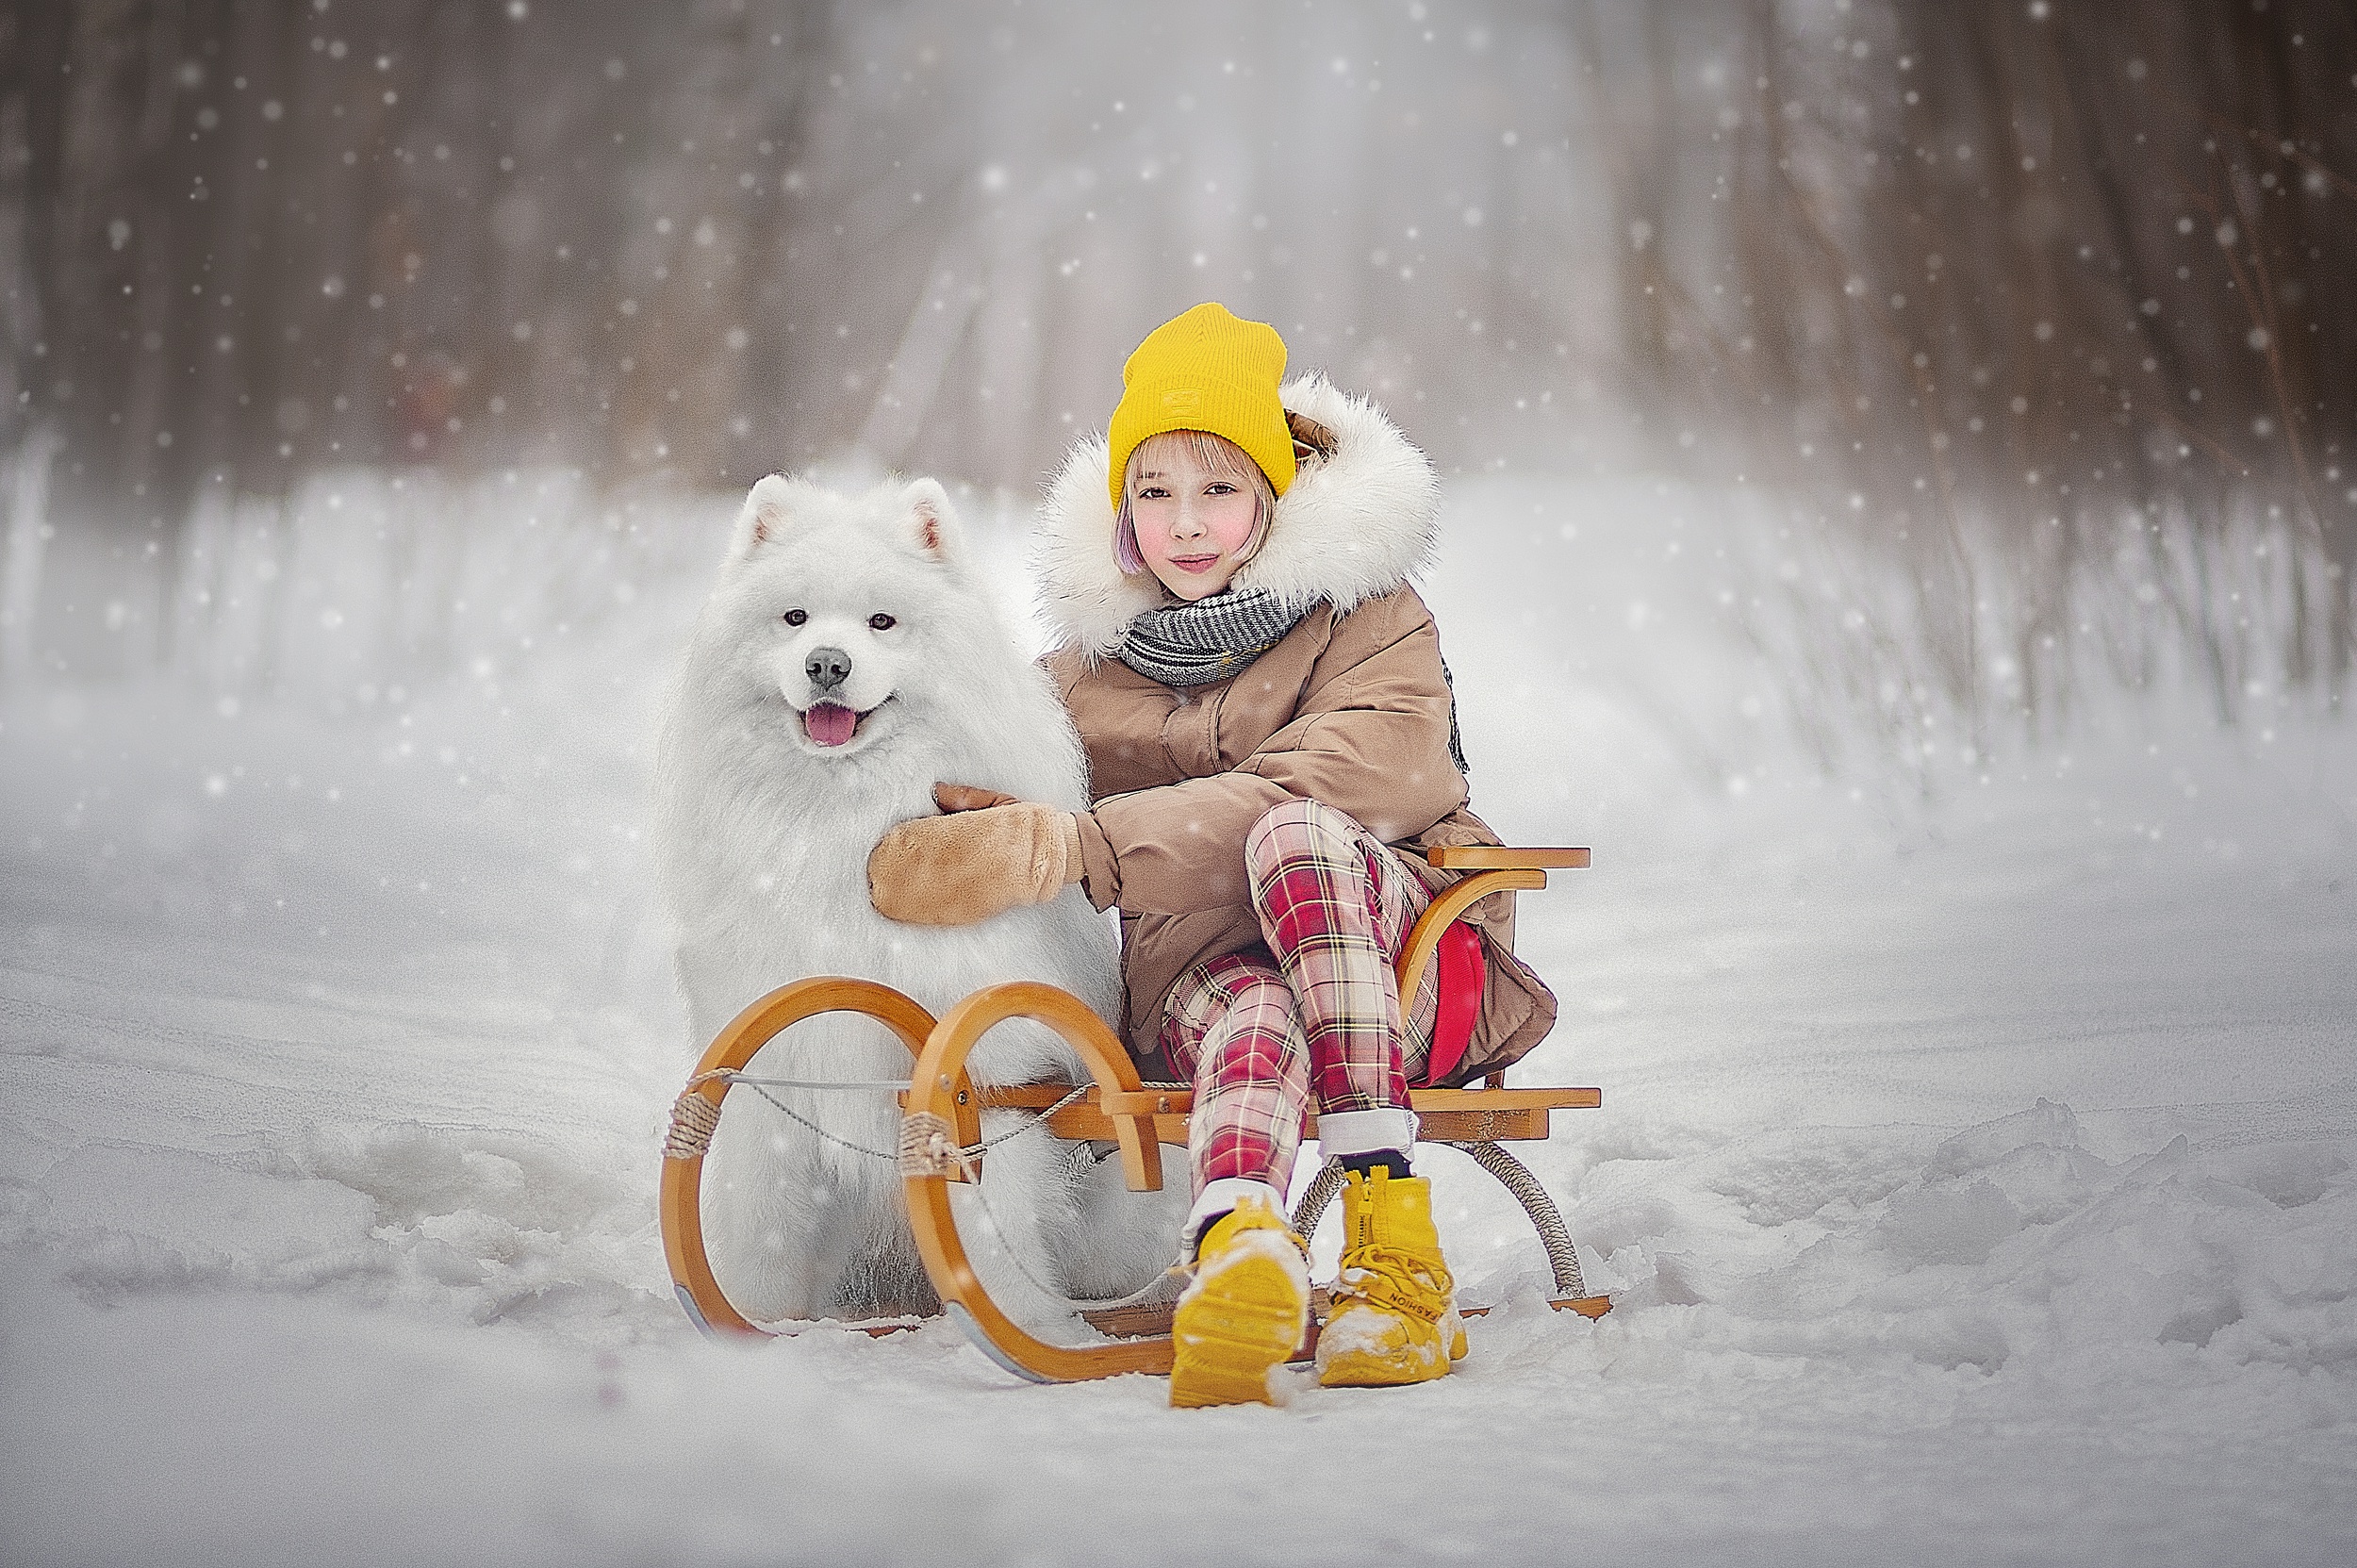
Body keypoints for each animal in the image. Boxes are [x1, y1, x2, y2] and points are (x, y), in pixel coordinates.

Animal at [660, 473, 1178, 1320]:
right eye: (795, 618)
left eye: (883, 621)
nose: (827, 663)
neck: (841, 822)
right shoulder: (778, 1060)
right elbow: (762, 1227)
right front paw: (755, 1319)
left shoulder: (983, 1077)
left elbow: (991, 1226)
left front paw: (1024, 1321)